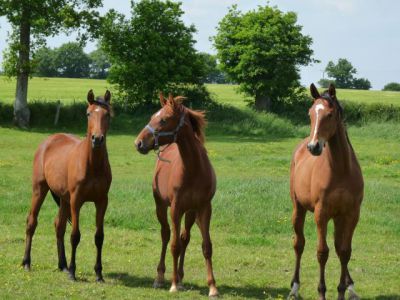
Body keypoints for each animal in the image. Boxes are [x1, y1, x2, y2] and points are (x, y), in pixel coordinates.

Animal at [22, 90, 112, 282]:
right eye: (88, 113)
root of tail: (48, 140)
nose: (97, 139)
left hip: (63, 199)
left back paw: (62, 265)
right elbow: (75, 235)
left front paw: (99, 273)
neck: (92, 165)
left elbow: (99, 237)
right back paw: (26, 262)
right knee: (32, 222)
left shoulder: (102, 201)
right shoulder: (76, 201)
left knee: (59, 226)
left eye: (107, 114)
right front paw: (72, 272)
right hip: (39, 190)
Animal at [136, 92, 219, 296]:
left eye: (163, 119)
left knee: (184, 238)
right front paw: (172, 284)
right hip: (161, 207)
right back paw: (160, 278)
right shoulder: (175, 209)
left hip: (190, 212)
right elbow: (174, 246)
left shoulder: (204, 208)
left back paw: (181, 278)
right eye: (152, 116)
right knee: (166, 235)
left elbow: (206, 246)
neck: (194, 169)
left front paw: (212, 287)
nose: (138, 143)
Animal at [290, 84, 364, 300]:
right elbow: (322, 252)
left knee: (339, 246)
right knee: (299, 244)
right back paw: (294, 287)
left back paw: (350, 286)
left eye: (330, 115)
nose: (314, 146)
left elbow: (345, 251)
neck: (341, 169)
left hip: (338, 217)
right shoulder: (321, 213)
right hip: (298, 208)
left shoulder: (351, 214)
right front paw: (322, 291)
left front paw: (342, 290)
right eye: (310, 114)